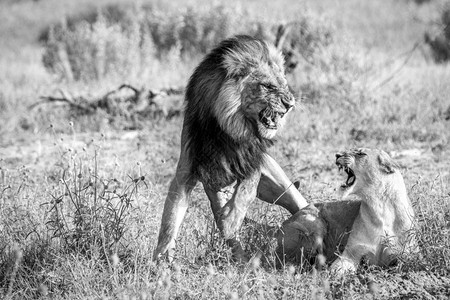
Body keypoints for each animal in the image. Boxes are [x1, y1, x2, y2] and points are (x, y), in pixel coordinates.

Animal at [155, 34, 310, 260]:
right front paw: (161, 257)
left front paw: (232, 219)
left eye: (285, 84)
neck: (228, 128)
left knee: (296, 201)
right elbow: (171, 218)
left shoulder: (252, 160)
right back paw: (242, 258)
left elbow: (246, 191)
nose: (290, 105)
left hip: (276, 183)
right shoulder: (189, 172)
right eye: (268, 86)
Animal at [276, 149, 416, 274]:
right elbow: (337, 270)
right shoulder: (351, 253)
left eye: (361, 153)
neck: (379, 206)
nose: (337, 154)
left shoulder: (406, 254)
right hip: (315, 222)